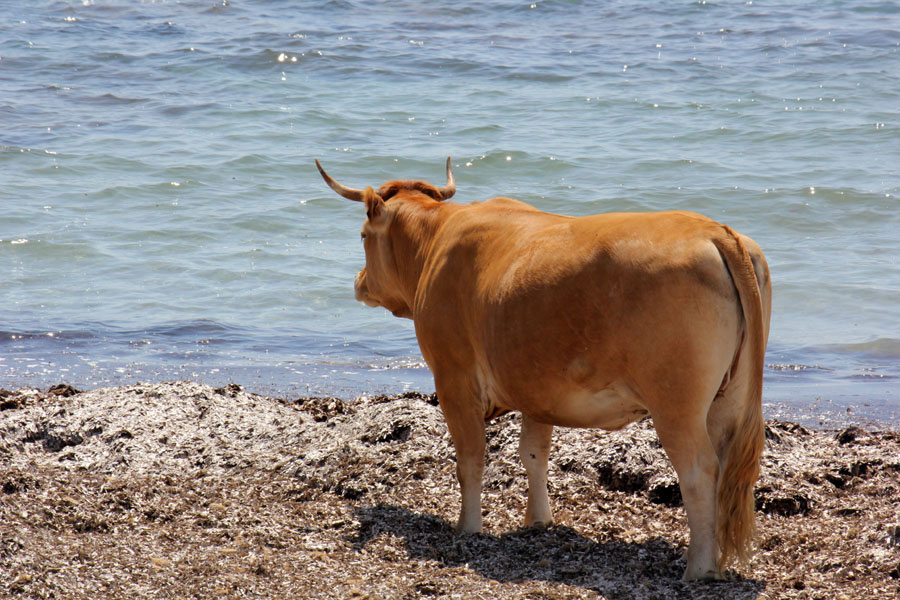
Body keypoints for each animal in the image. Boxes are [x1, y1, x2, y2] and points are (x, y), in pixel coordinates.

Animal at [316, 157, 772, 580]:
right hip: (730, 398)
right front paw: (538, 521)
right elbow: (533, 453)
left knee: (700, 470)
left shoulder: (453, 376)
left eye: (362, 236)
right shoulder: (537, 387)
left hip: (676, 403)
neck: (436, 240)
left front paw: (468, 526)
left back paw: (699, 567)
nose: (358, 281)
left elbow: (470, 457)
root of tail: (712, 230)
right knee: (729, 470)